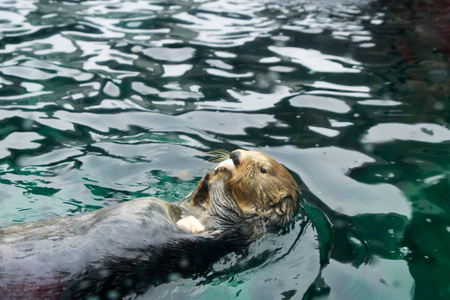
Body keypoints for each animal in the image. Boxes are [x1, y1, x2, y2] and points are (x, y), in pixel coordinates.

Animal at [0, 149, 298, 298]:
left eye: (263, 169)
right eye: (243, 150)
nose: (235, 155)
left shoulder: (236, 229)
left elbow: (227, 212)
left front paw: (222, 175)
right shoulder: (188, 206)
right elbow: (193, 197)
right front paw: (214, 171)